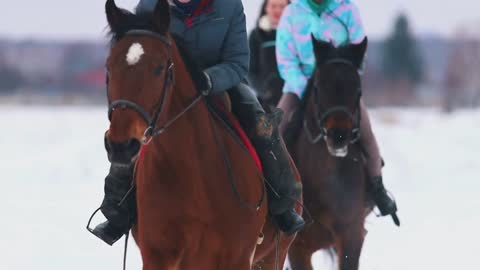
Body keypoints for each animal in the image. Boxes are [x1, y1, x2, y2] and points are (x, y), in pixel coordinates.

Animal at [102, 1, 300, 268]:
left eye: (159, 68)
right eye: (109, 66)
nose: (121, 147)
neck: (192, 176)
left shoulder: (237, 257)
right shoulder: (157, 256)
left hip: (272, 256)